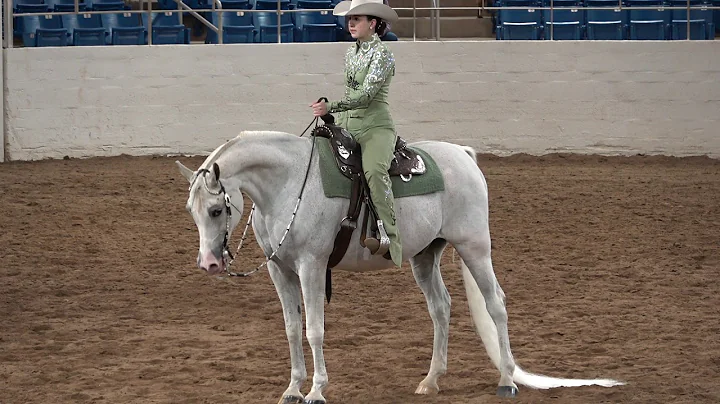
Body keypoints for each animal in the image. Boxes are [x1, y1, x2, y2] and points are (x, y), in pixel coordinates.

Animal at [176, 130, 624, 404]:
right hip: (427, 255)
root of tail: (463, 155)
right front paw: (292, 388)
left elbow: (314, 329)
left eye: (216, 209)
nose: (209, 263)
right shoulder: (280, 271)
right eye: (191, 211)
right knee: (441, 308)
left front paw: (317, 390)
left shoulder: (310, 267)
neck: (289, 183)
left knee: (496, 303)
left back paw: (507, 380)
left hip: (475, 247)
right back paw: (431, 380)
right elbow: (290, 328)